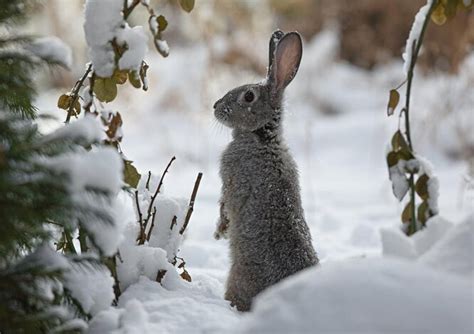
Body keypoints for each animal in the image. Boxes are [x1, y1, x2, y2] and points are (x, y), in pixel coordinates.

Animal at [214, 30, 318, 312]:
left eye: (248, 96)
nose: (215, 106)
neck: (261, 137)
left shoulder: (231, 180)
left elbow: (225, 205)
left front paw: (220, 231)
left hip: (238, 276)